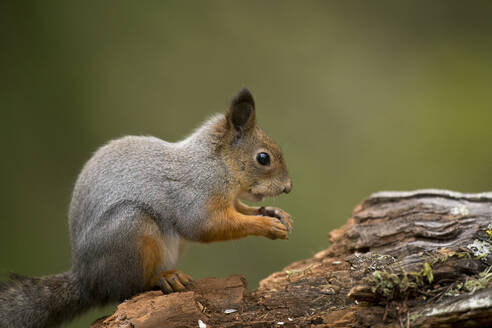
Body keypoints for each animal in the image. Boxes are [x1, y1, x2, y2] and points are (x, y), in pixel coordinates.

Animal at [0, 88, 292, 328]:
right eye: (263, 158)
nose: (289, 187)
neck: (217, 164)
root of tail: (86, 279)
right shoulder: (196, 196)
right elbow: (206, 227)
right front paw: (266, 225)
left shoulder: (230, 200)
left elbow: (242, 209)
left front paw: (276, 214)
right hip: (132, 230)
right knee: (128, 288)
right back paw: (163, 279)